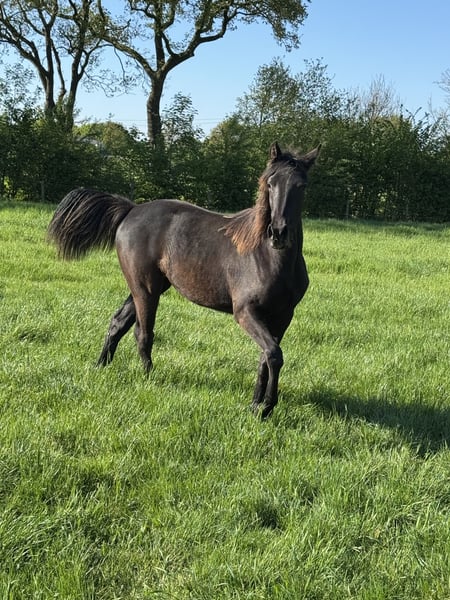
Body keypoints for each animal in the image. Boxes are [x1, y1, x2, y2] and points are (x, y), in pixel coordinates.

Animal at [48, 142, 320, 418]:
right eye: (270, 183)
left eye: (301, 186)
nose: (278, 233)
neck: (267, 258)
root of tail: (131, 209)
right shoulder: (245, 312)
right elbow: (274, 354)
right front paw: (266, 407)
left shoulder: (283, 316)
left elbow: (266, 356)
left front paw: (256, 404)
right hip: (145, 289)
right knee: (143, 333)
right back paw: (149, 378)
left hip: (148, 287)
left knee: (118, 323)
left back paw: (101, 365)